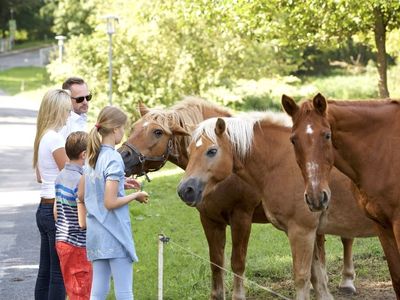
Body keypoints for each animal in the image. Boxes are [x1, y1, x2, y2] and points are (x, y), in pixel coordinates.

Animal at [282, 93, 400, 298]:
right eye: (293, 140)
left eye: (327, 135)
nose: (316, 197)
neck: (385, 151)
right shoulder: (382, 226)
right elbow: (397, 280)